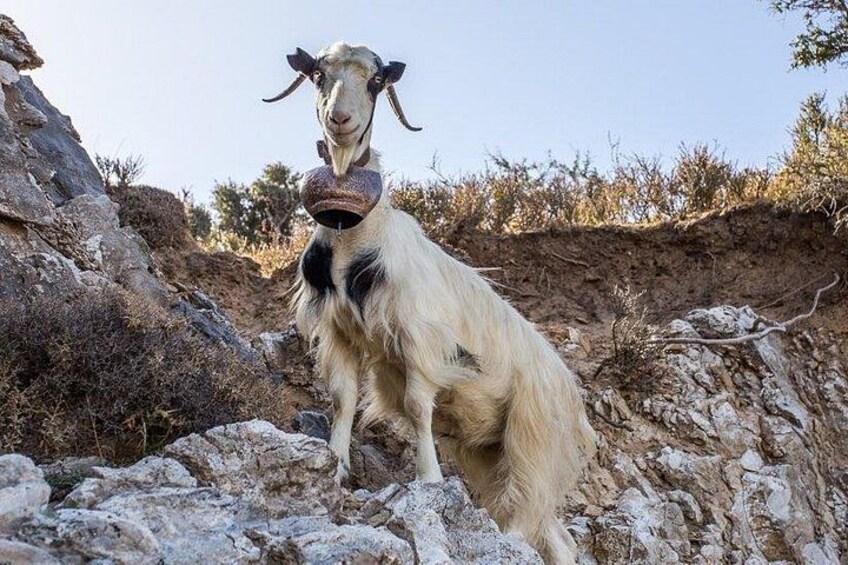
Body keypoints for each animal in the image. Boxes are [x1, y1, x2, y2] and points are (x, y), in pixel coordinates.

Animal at [264, 42, 597, 564]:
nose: (340, 120)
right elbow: (342, 399)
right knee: (554, 535)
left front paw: (429, 481)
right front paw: (335, 467)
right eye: (318, 75)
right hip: (489, 452)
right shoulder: (340, 333)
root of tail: (574, 401)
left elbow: (419, 408)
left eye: (376, 82)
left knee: (526, 517)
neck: (356, 239)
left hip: (533, 442)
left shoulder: (419, 343)